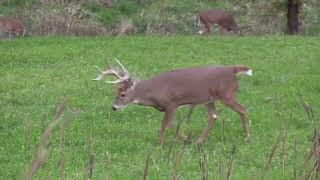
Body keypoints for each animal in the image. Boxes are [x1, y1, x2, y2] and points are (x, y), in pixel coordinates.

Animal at [94, 59, 252, 145]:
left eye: (123, 94)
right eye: (116, 92)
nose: (114, 107)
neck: (153, 93)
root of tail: (232, 69)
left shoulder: (171, 103)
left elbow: (165, 125)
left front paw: (161, 144)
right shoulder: (169, 107)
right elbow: (173, 124)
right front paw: (187, 139)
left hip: (227, 95)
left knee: (243, 109)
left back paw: (247, 138)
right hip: (209, 99)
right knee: (213, 116)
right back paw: (199, 141)